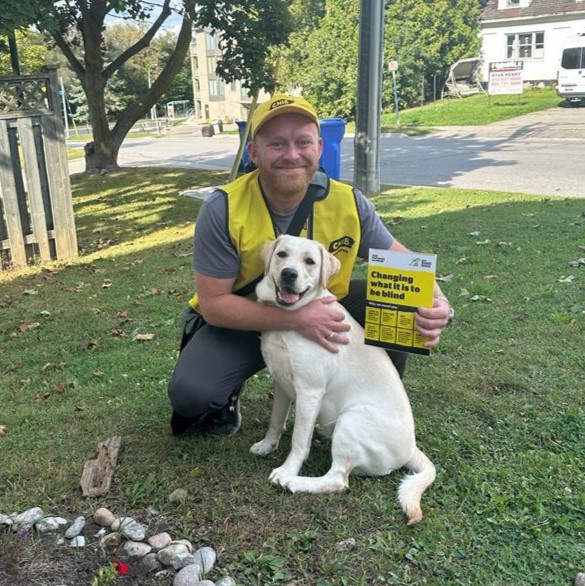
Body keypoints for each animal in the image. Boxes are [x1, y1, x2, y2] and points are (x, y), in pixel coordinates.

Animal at [253, 235, 436, 524]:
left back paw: (295, 482)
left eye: (310, 261)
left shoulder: (309, 392)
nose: (289, 274)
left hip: (351, 421)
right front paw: (267, 445)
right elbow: (275, 421)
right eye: (281, 254)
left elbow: (298, 441)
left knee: (338, 479)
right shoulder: (281, 383)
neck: (292, 319)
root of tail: (412, 449)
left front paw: (287, 470)